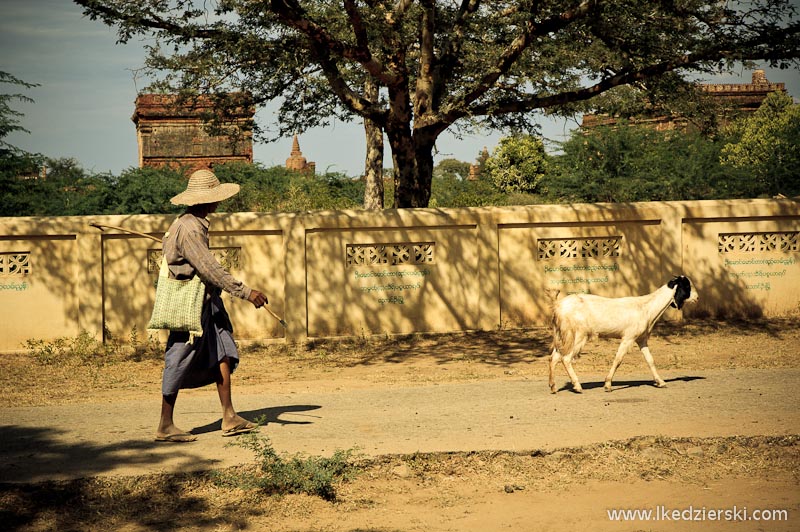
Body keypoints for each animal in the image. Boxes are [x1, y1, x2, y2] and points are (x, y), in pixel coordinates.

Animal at [548, 276, 696, 392]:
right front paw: (608, 385)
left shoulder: (641, 339)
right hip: (577, 335)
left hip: (563, 335)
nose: (697, 297)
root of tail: (558, 306)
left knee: (554, 356)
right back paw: (577, 386)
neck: (647, 307)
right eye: (687, 286)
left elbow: (650, 360)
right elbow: (618, 359)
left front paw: (661, 382)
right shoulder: (628, 337)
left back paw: (553, 386)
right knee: (566, 358)